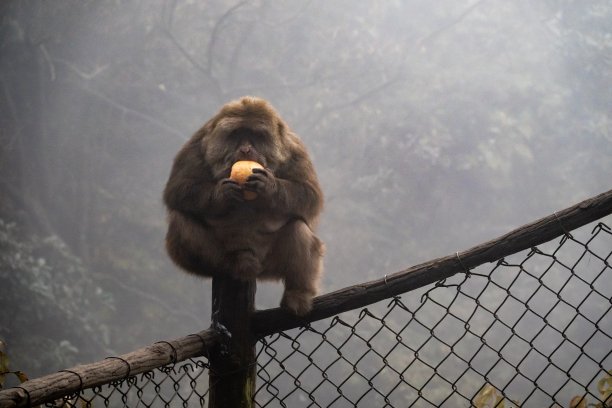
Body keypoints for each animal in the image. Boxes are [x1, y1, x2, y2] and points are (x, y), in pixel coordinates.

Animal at [163, 95, 326, 316]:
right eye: (237, 134)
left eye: (256, 136)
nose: (246, 149)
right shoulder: (199, 142)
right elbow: (178, 189)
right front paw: (221, 194)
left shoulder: (294, 148)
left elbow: (310, 194)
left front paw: (269, 187)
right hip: (224, 254)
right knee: (181, 220)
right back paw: (230, 264)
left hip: (269, 264)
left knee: (298, 228)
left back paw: (297, 294)